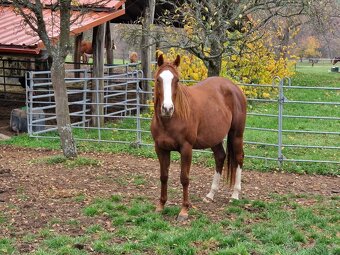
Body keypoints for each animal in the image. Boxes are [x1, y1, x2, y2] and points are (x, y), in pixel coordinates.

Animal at [151, 55, 247, 221]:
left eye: (176, 80)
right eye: (158, 79)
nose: (167, 108)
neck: (169, 120)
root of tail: (234, 87)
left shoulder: (186, 149)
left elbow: (184, 178)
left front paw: (184, 210)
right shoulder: (160, 148)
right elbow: (163, 176)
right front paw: (161, 205)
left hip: (236, 134)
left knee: (239, 158)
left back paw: (235, 195)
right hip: (214, 137)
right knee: (220, 157)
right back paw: (210, 194)